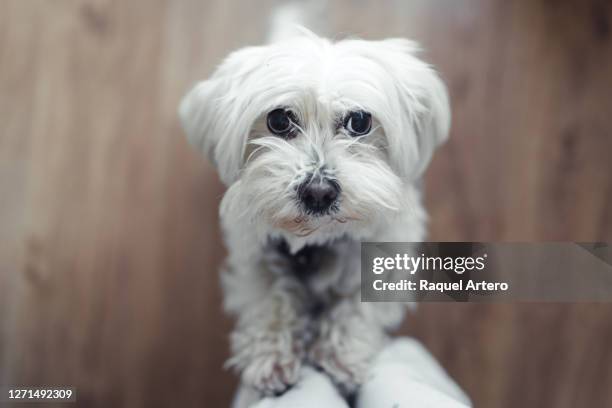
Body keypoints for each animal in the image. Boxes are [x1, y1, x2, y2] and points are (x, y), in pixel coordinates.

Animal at [177, 6, 450, 396]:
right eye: (278, 119)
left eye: (360, 121)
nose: (318, 191)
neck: (318, 241)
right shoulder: (253, 256)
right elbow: (270, 298)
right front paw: (271, 358)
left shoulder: (387, 254)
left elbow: (358, 304)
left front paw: (342, 355)